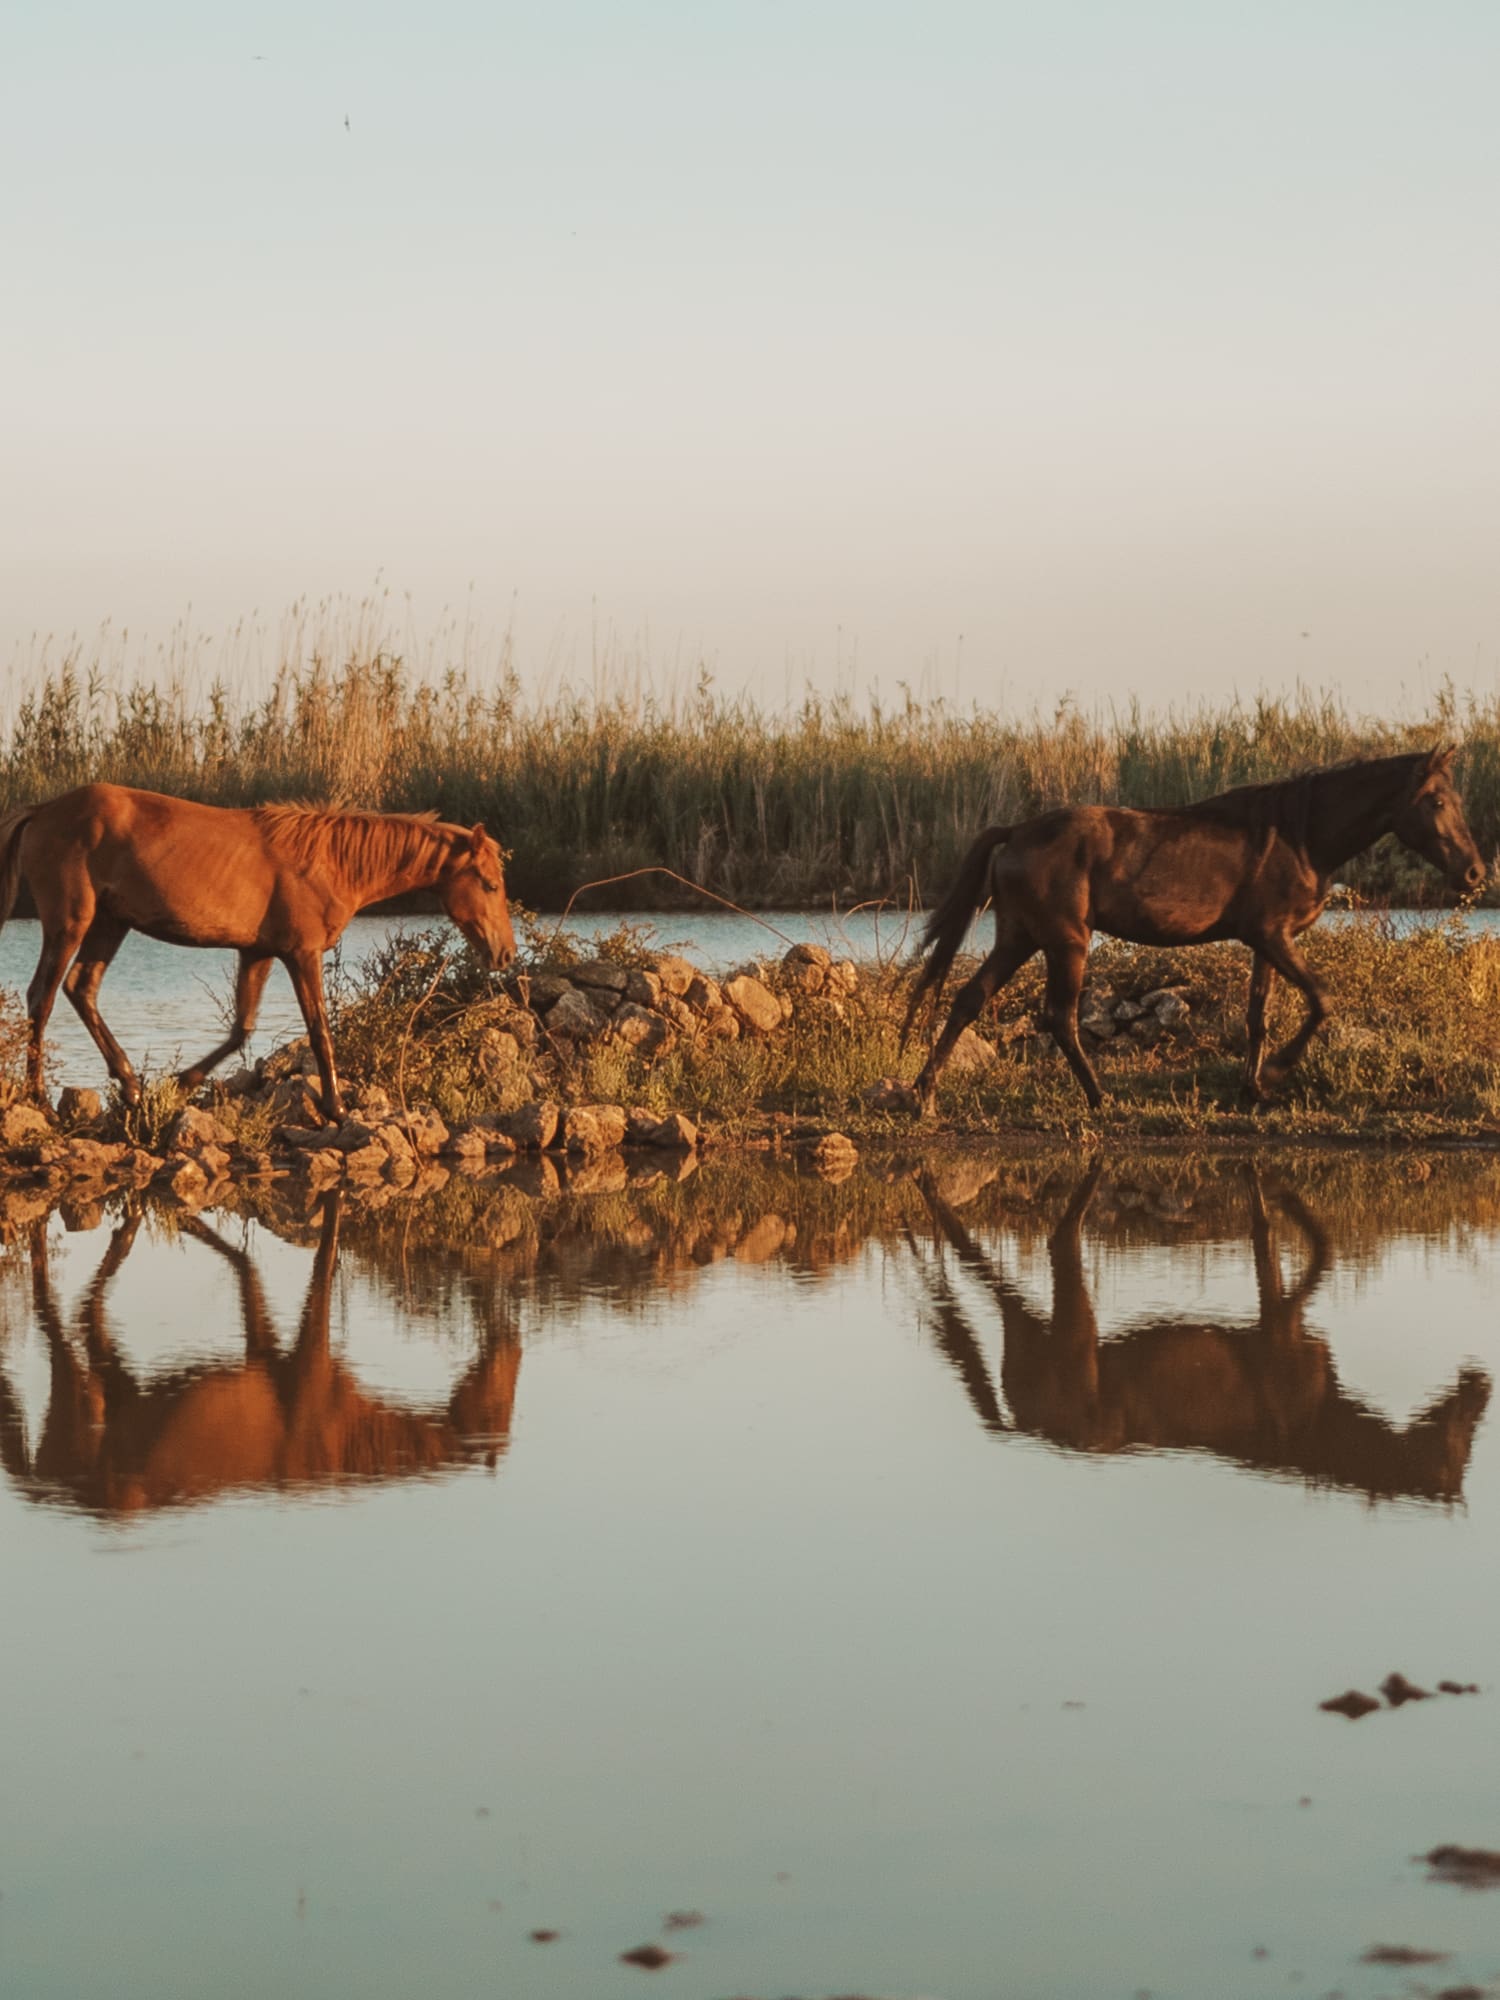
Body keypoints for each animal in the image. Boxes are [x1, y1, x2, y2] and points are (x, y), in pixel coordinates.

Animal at [0, 784, 516, 1119]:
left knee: (81, 989)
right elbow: (319, 1030)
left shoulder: (259, 953)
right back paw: (41, 1099)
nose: (506, 954)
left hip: (110, 922)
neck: (332, 862)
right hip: (70, 922)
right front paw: (336, 1107)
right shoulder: (301, 954)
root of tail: (42, 810)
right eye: (490, 884)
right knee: (42, 996)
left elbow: (240, 1030)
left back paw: (128, 1083)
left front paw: (182, 1082)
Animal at [904, 745, 1487, 1110]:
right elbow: (1322, 999)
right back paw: (1099, 1097)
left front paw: (1253, 1090)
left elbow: (1258, 1016)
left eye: (1459, 800)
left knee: (968, 999)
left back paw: (924, 1094)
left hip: (1018, 936)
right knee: (1060, 1018)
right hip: (1066, 943)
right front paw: (1277, 1071)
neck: (1301, 836)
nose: (1476, 872)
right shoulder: (1274, 936)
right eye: (1436, 800)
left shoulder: (1265, 941)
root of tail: (1017, 831)